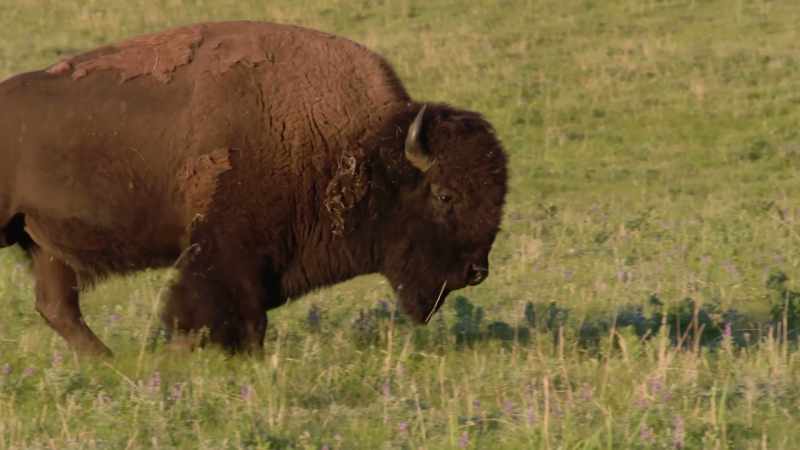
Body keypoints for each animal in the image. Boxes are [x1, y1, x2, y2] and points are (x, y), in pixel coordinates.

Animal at [0, 21, 508, 355]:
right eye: (445, 195)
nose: (476, 271)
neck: (356, 145)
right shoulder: (225, 250)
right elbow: (219, 310)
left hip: (44, 245)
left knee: (58, 307)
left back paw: (110, 364)